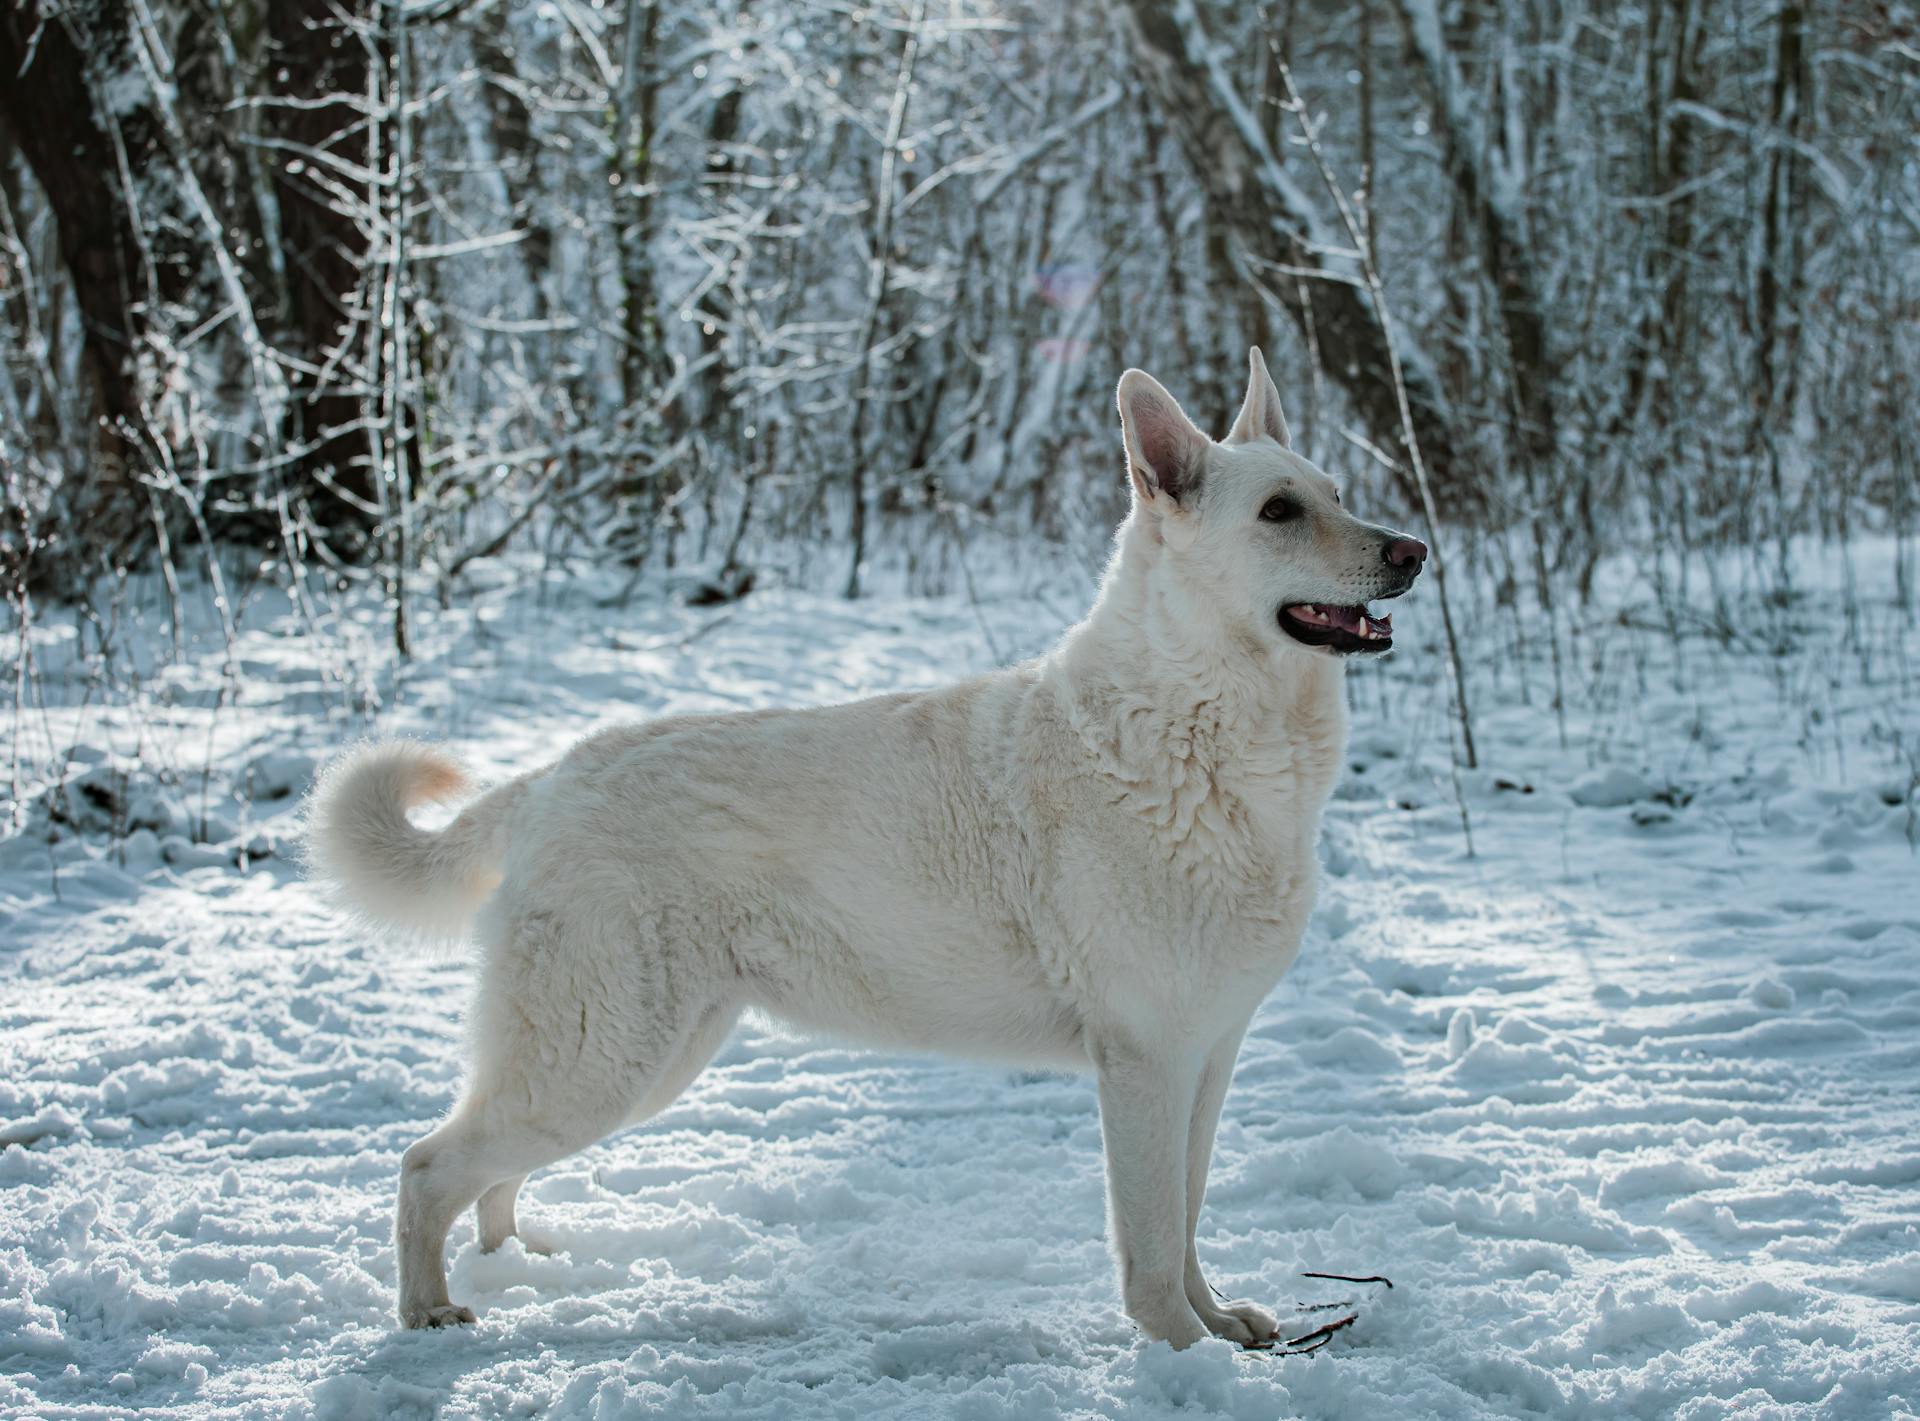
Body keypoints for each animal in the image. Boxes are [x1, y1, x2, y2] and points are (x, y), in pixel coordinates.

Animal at [307, 349, 1428, 1351]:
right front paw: (1184, 1353)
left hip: (641, 1060)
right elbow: (1151, 1245)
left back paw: (513, 1261)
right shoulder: (1146, 1060)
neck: (1200, 727)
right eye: (1279, 511)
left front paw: (1219, 1323)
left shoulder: (1206, 1056)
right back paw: (429, 1311)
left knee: (487, 1172)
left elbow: (1187, 1223)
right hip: (601, 1063)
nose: (1414, 549)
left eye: (1336, 493)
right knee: (424, 1166)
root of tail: (549, 777)